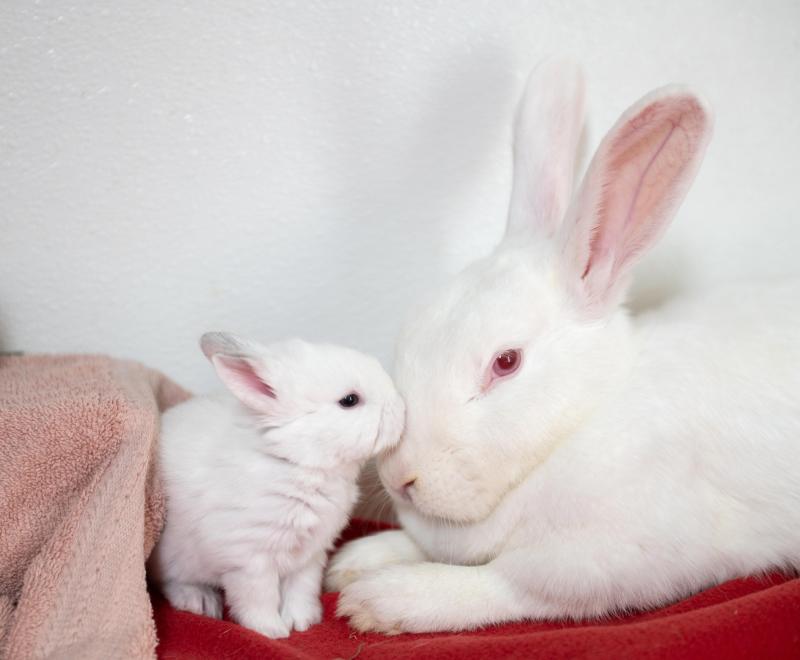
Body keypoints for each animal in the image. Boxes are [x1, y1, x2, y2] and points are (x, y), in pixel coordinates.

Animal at [148, 332, 404, 638]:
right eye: (349, 400)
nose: (402, 407)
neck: (294, 460)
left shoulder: (310, 556)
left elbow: (301, 589)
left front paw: (303, 622)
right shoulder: (249, 559)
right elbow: (259, 598)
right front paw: (272, 631)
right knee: (170, 581)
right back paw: (199, 601)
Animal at [326, 59, 800, 634]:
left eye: (506, 363)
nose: (399, 478)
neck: (580, 422)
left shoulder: (605, 560)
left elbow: (500, 583)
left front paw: (383, 600)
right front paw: (357, 560)